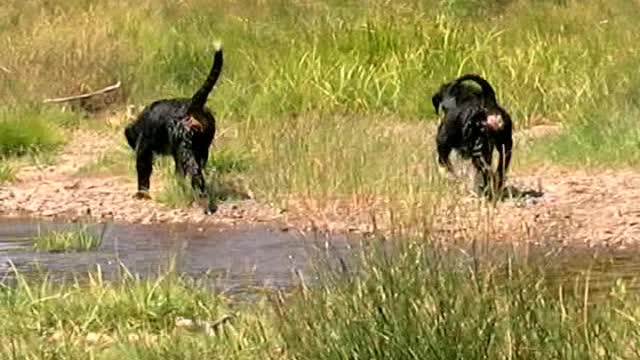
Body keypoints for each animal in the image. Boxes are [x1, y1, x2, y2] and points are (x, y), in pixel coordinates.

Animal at [124, 42, 224, 214]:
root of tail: (192, 105)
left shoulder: (144, 149)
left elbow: (143, 170)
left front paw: (141, 194)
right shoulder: (177, 154)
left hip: (187, 150)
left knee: (196, 175)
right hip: (201, 150)